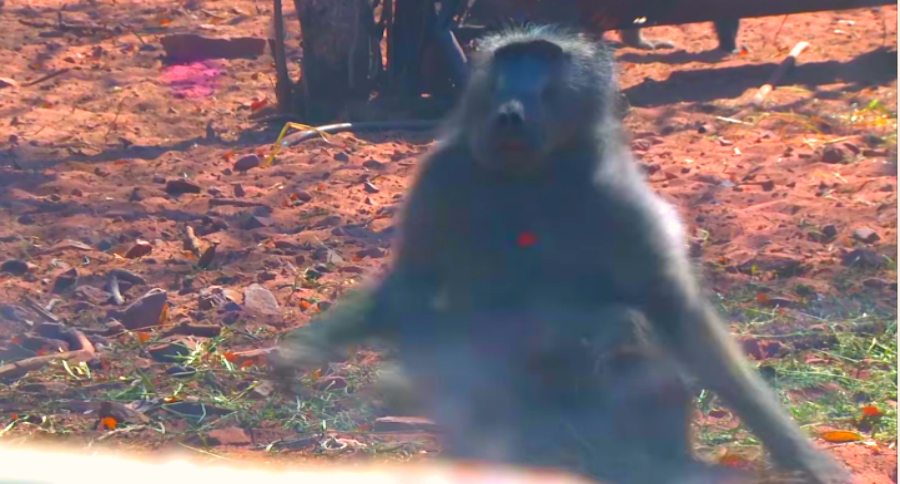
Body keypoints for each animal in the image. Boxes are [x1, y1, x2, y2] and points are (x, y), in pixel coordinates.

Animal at [272, 25, 850, 484]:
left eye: (544, 59)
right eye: (509, 59)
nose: (509, 109)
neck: (532, 175)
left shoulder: (617, 194)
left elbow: (675, 311)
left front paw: (801, 454)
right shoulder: (440, 175)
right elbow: (409, 287)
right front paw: (301, 354)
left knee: (625, 330)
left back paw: (654, 460)